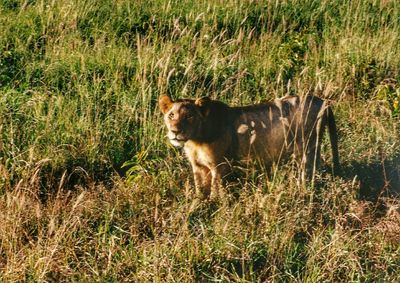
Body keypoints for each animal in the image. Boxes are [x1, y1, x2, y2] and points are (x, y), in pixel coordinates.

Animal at [158, 95, 340, 200]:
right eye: (171, 115)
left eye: (189, 116)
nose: (175, 131)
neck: (195, 140)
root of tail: (323, 101)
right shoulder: (198, 167)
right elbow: (200, 188)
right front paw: (199, 202)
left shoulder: (219, 165)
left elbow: (216, 189)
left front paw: (214, 205)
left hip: (307, 149)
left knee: (309, 175)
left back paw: (303, 194)